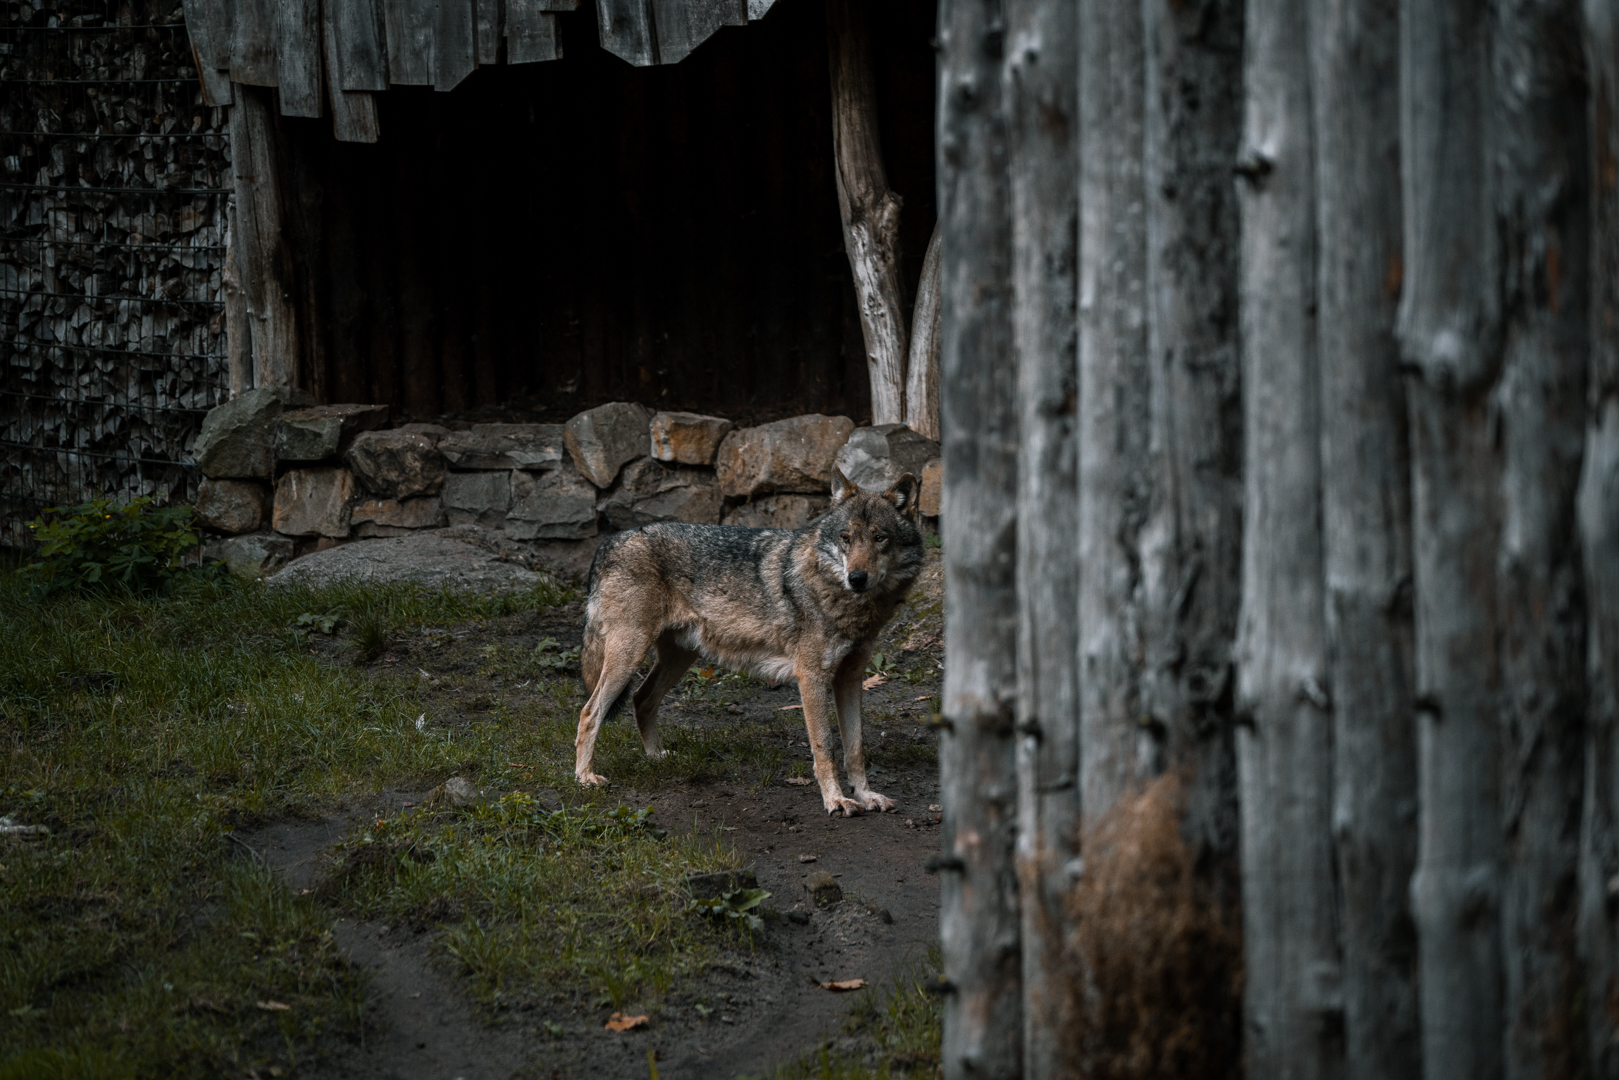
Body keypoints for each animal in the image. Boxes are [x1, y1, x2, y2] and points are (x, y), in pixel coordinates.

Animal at [575, 469, 925, 816]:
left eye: (879, 538)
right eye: (846, 538)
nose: (857, 578)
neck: (846, 603)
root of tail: (609, 542)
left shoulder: (850, 679)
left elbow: (855, 748)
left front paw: (866, 795)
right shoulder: (811, 677)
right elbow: (825, 747)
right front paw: (836, 800)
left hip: (678, 658)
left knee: (641, 699)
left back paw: (655, 757)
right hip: (629, 655)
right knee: (590, 711)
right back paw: (585, 777)